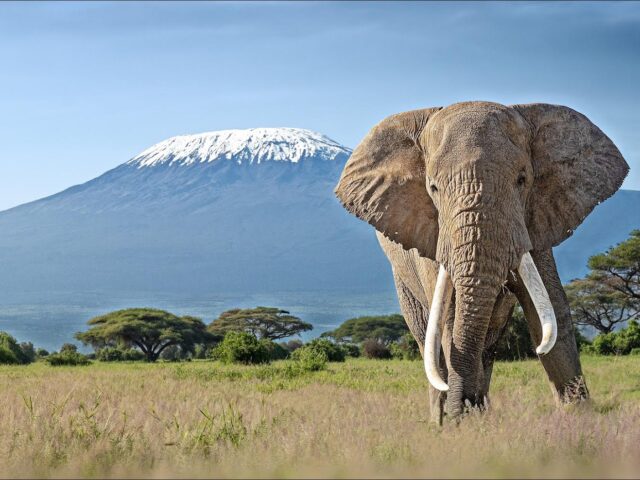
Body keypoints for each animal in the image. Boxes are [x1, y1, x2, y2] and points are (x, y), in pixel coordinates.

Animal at [338, 102, 628, 424]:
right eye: (433, 188)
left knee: (488, 345)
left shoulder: (536, 219)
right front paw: (460, 425)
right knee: (428, 339)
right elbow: (450, 317)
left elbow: (551, 309)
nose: (462, 407)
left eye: (522, 180)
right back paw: (441, 419)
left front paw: (579, 419)